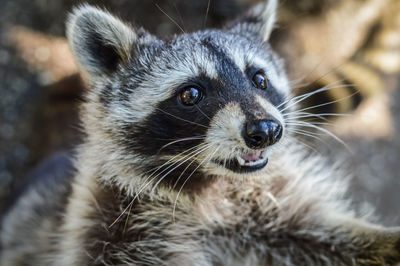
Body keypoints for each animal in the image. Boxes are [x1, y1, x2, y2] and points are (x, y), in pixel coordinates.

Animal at [0, 0, 400, 266]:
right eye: (191, 94)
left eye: (259, 79)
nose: (267, 130)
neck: (208, 183)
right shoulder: (104, 226)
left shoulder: (272, 211)